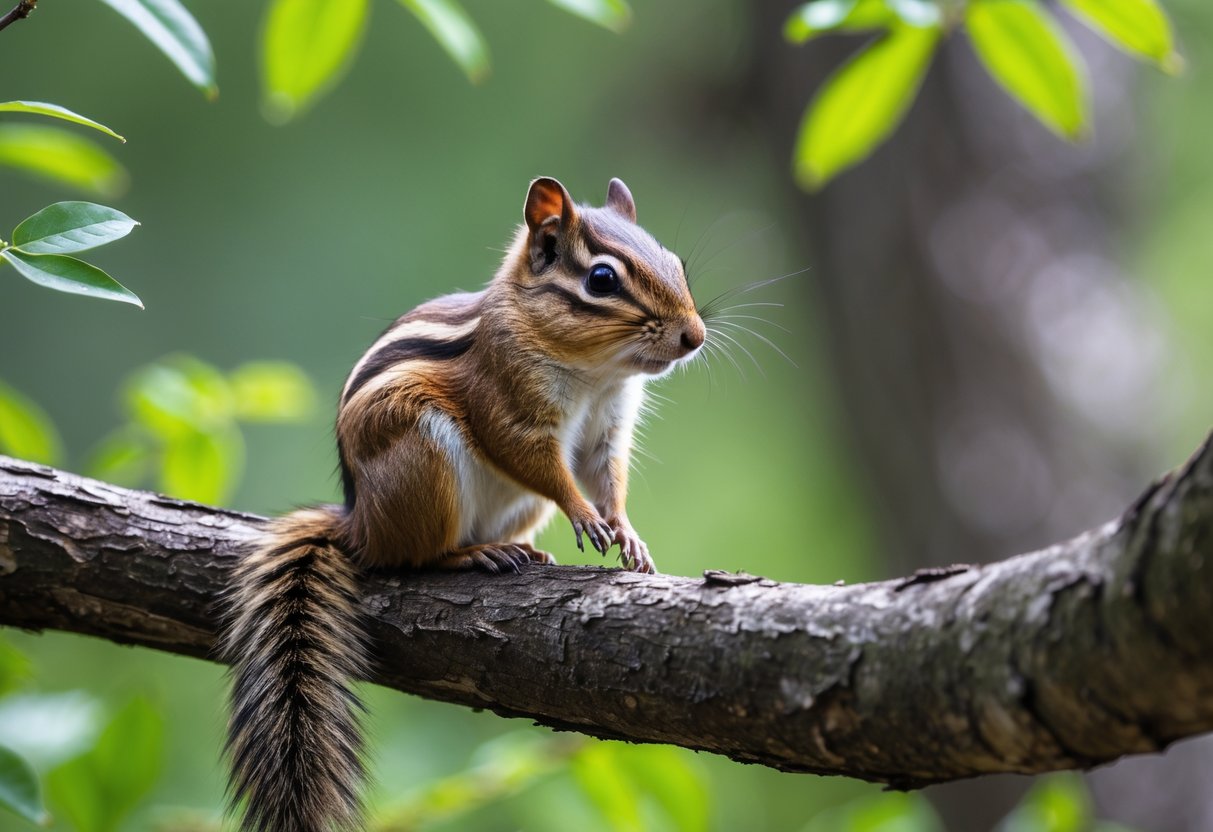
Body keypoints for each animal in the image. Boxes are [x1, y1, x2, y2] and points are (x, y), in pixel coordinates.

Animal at [220, 177, 705, 832]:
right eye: (602, 280)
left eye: (676, 263)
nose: (695, 337)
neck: (596, 373)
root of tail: (358, 522)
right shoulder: (506, 402)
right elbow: (536, 462)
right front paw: (584, 515)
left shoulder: (608, 427)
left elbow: (605, 476)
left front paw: (626, 531)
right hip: (423, 462)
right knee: (409, 559)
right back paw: (475, 556)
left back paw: (520, 550)